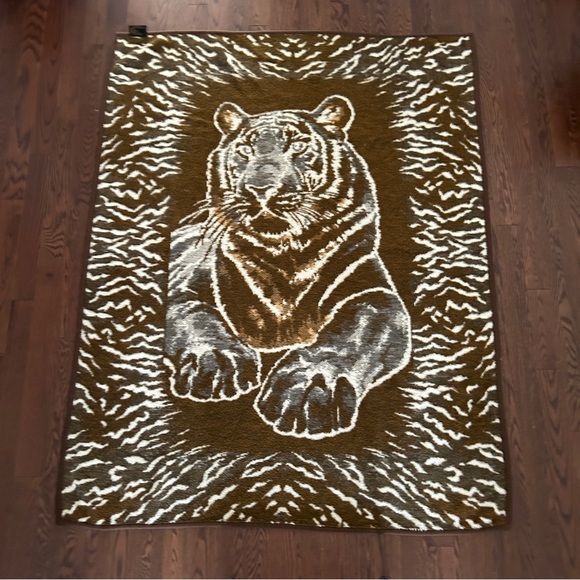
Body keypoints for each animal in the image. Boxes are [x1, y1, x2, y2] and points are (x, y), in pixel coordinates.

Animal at [165, 95, 412, 439]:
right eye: (246, 149)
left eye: (297, 145)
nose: (260, 189)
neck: (284, 254)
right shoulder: (186, 286)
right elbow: (200, 320)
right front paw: (218, 364)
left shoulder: (373, 294)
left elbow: (351, 337)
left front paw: (309, 390)